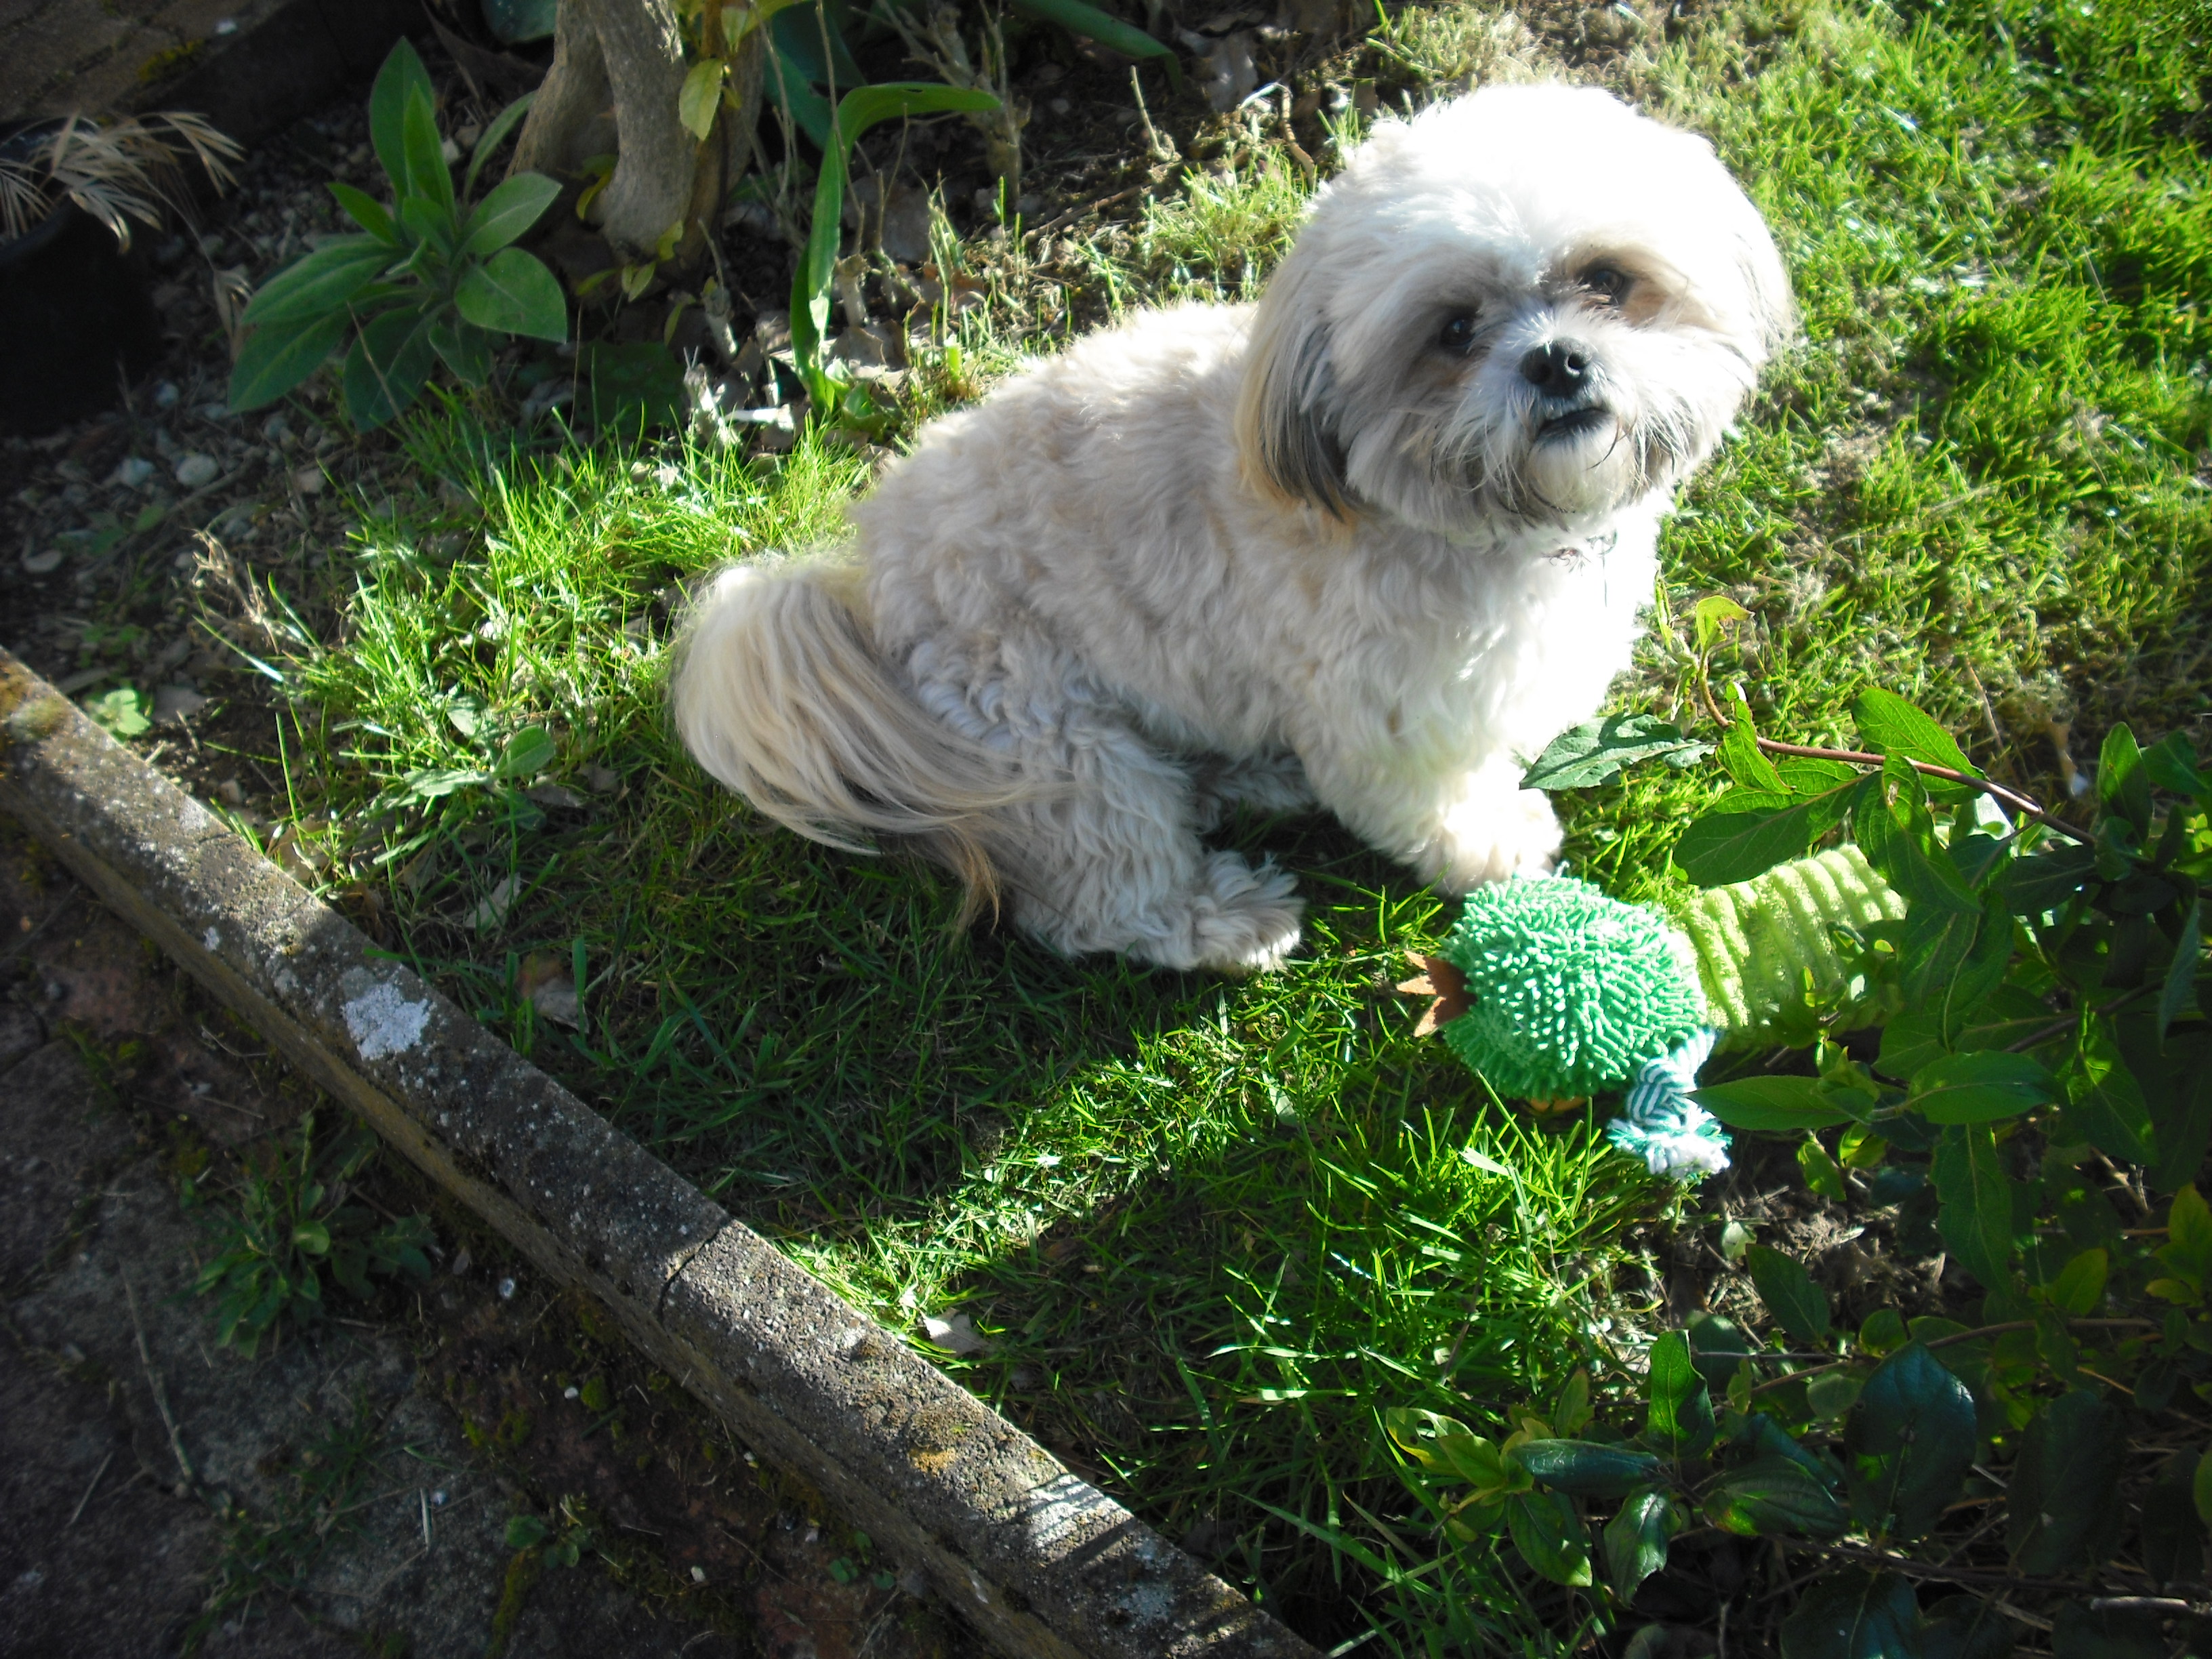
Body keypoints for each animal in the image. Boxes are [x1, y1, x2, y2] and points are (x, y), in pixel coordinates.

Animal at [672, 84, 1796, 973]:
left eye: (1607, 279)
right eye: (1453, 331)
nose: (1557, 360)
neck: (1471, 527)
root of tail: (864, 587)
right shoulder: (1386, 716)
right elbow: (1436, 804)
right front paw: (1495, 849)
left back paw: (1254, 778)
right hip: (1056, 747)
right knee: (1102, 898)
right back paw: (1225, 920)